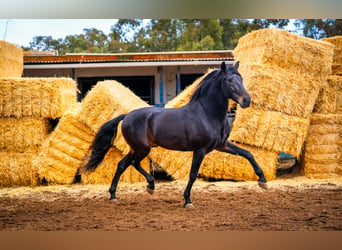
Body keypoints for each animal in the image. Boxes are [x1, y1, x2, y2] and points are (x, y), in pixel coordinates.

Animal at [82, 61, 268, 208]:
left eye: (241, 79)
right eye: (229, 80)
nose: (246, 101)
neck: (207, 113)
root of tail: (126, 116)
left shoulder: (221, 145)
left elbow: (248, 154)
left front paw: (263, 181)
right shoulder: (199, 150)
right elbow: (192, 174)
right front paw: (187, 201)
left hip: (136, 148)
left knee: (122, 164)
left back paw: (114, 195)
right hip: (143, 149)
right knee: (133, 163)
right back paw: (150, 186)